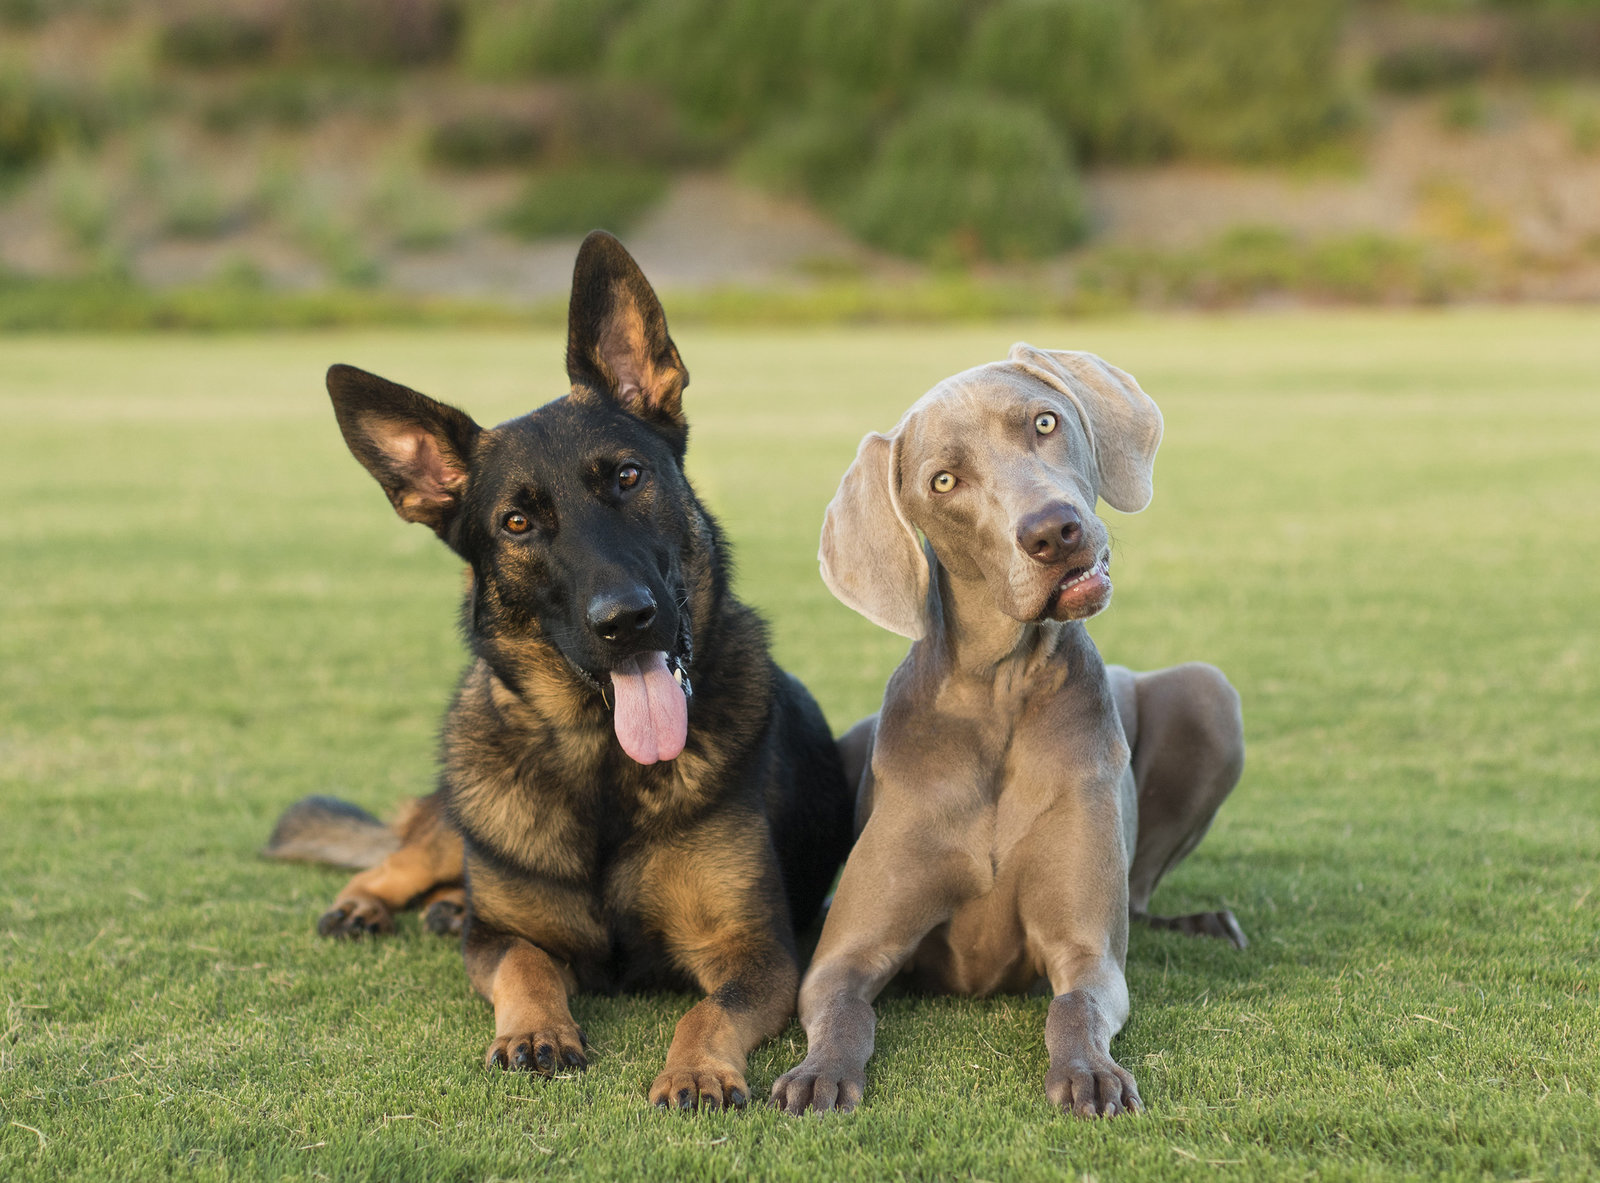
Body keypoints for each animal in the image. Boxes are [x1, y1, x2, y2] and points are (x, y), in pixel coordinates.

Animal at [267, 228, 857, 1107]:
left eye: (627, 477)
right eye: (517, 522)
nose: (625, 620)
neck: (604, 768)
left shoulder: (757, 952)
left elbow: (705, 1011)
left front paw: (694, 1069)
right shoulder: (505, 937)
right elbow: (525, 962)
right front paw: (536, 1028)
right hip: (463, 814)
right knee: (409, 851)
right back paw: (371, 901)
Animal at [774, 339, 1248, 1120]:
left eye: (1045, 422)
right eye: (943, 481)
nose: (1053, 531)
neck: (999, 691)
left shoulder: (1087, 950)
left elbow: (1076, 1003)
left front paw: (1090, 1073)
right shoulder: (844, 957)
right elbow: (844, 1008)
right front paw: (819, 1074)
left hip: (1209, 695)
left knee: (1139, 892)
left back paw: (1200, 924)